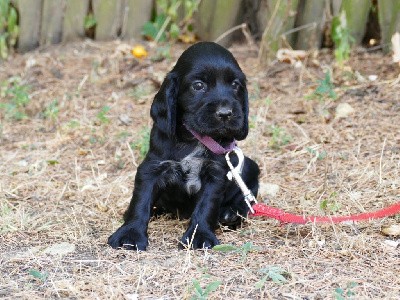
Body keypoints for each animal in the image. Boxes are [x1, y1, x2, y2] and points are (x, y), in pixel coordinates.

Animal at [109, 41, 260, 250]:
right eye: (198, 85)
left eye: (235, 85)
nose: (225, 113)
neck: (194, 138)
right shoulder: (152, 167)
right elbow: (140, 201)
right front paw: (130, 234)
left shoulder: (216, 174)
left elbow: (206, 206)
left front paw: (199, 236)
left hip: (249, 167)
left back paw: (230, 214)